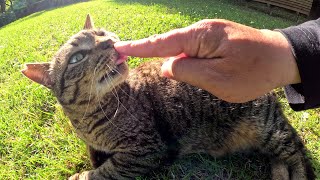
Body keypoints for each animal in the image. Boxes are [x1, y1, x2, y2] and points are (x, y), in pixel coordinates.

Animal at [21, 15, 316, 180]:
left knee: (297, 154)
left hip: (268, 129)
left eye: (101, 34)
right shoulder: (96, 145)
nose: (108, 42)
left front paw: (82, 175)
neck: (89, 118)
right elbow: (95, 156)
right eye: (77, 57)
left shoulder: (146, 150)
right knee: (281, 158)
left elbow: (107, 170)